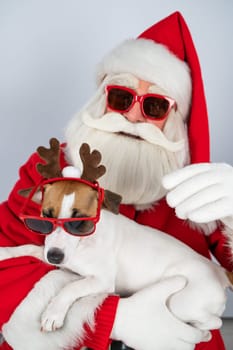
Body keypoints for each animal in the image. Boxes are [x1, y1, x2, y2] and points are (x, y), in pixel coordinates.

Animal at [0, 138, 232, 334]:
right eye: (46, 216)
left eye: (79, 222)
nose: (55, 256)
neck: (84, 242)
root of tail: (219, 272)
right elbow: (31, 247)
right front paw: (6, 252)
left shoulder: (101, 279)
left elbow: (71, 286)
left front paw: (53, 313)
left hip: (182, 303)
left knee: (214, 322)